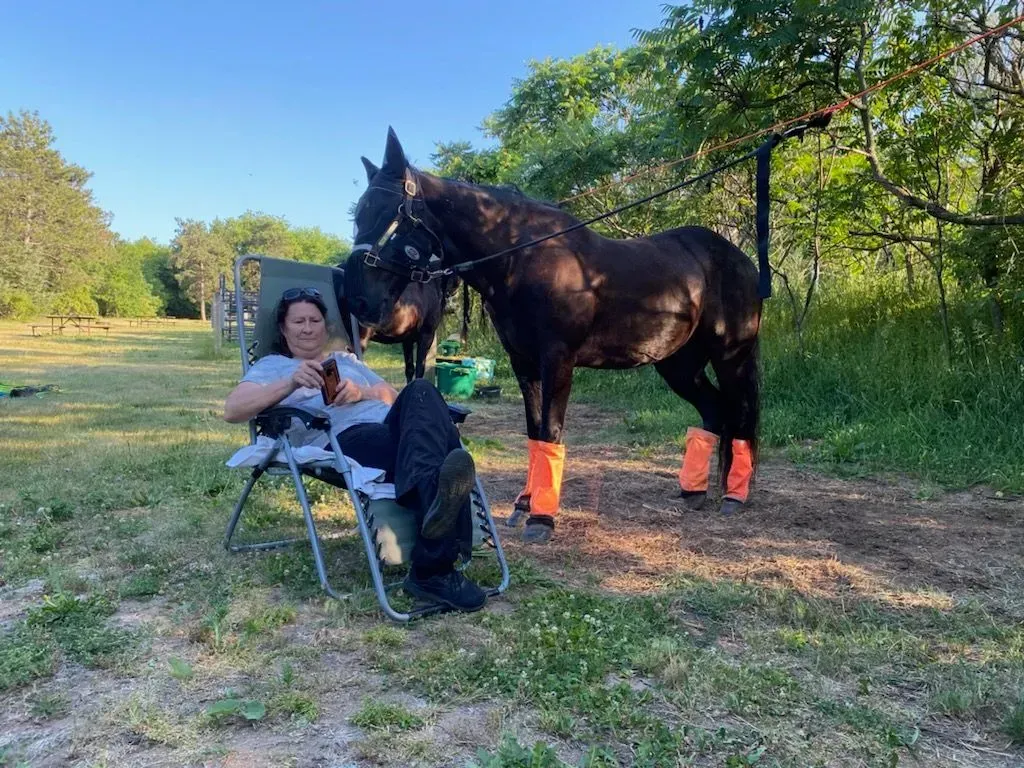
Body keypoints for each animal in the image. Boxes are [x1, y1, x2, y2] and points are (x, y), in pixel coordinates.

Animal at [343, 128, 763, 544]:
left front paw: (542, 519)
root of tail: (740, 260)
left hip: (732, 356)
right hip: (679, 365)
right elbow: (534, 431)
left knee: (741, 413)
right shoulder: (523, 361)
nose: (358, 299)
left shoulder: (558, 359)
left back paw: (734, 496)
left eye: (390, 212)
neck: (524, 258)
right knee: (713, 410)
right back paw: (695, 492)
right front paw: (524, 506)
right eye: (360, 214)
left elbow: (551, 430)